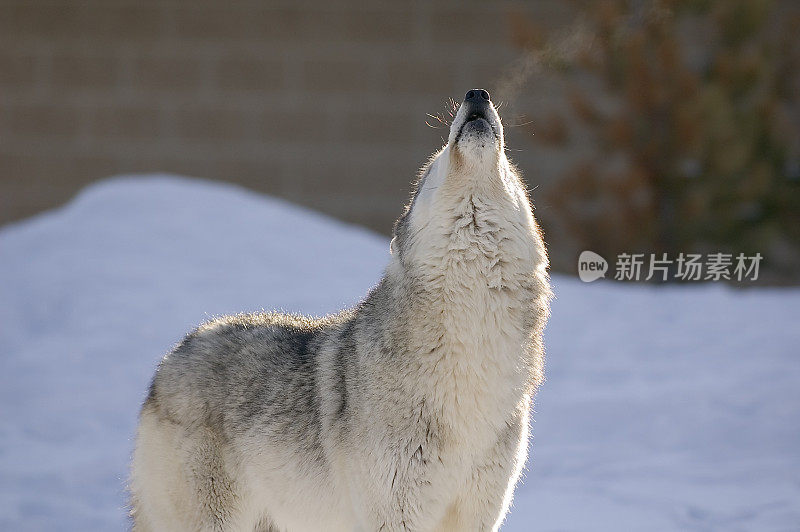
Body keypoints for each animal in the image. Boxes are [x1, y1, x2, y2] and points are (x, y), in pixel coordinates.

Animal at [133, 89, 552, 528]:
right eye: (432, 166)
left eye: (511, 173)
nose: (476, 94)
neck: (471, 353)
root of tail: (169, 361)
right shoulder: (395, 514)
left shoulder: (478, 515)